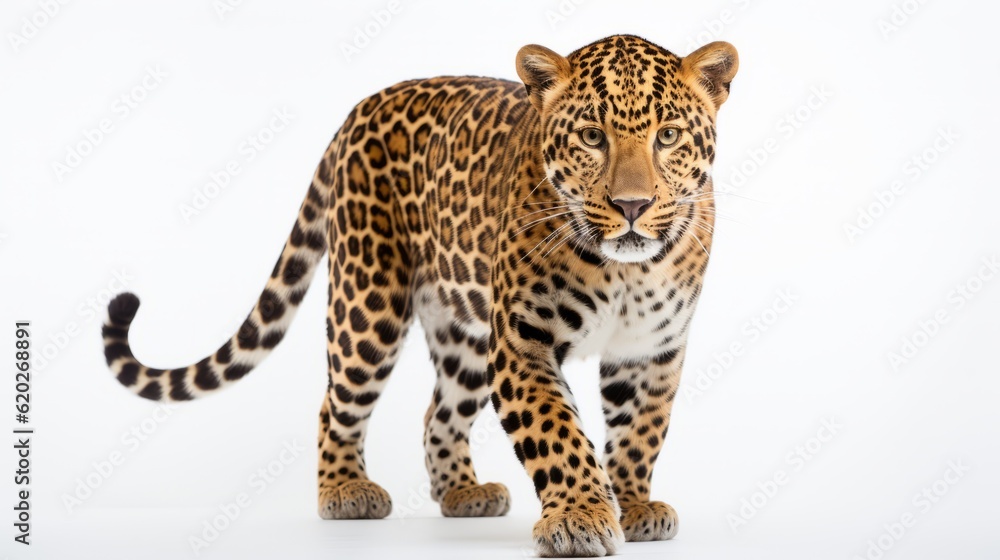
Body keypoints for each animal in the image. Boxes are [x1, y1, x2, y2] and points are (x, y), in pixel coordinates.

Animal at [101, 34, 738, 557]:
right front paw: (579, 517)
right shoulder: (522, 342)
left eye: (668, 136)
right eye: (591, 137)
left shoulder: (651, 350)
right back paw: (345, 489)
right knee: (336, 403)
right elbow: (558, 433)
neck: (627, 273)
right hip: (368, 304)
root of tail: (361, 107)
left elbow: (640, 432)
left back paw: (462, 493)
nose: (632, 205)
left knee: (439, 413)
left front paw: (632, 504)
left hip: (465, 334)